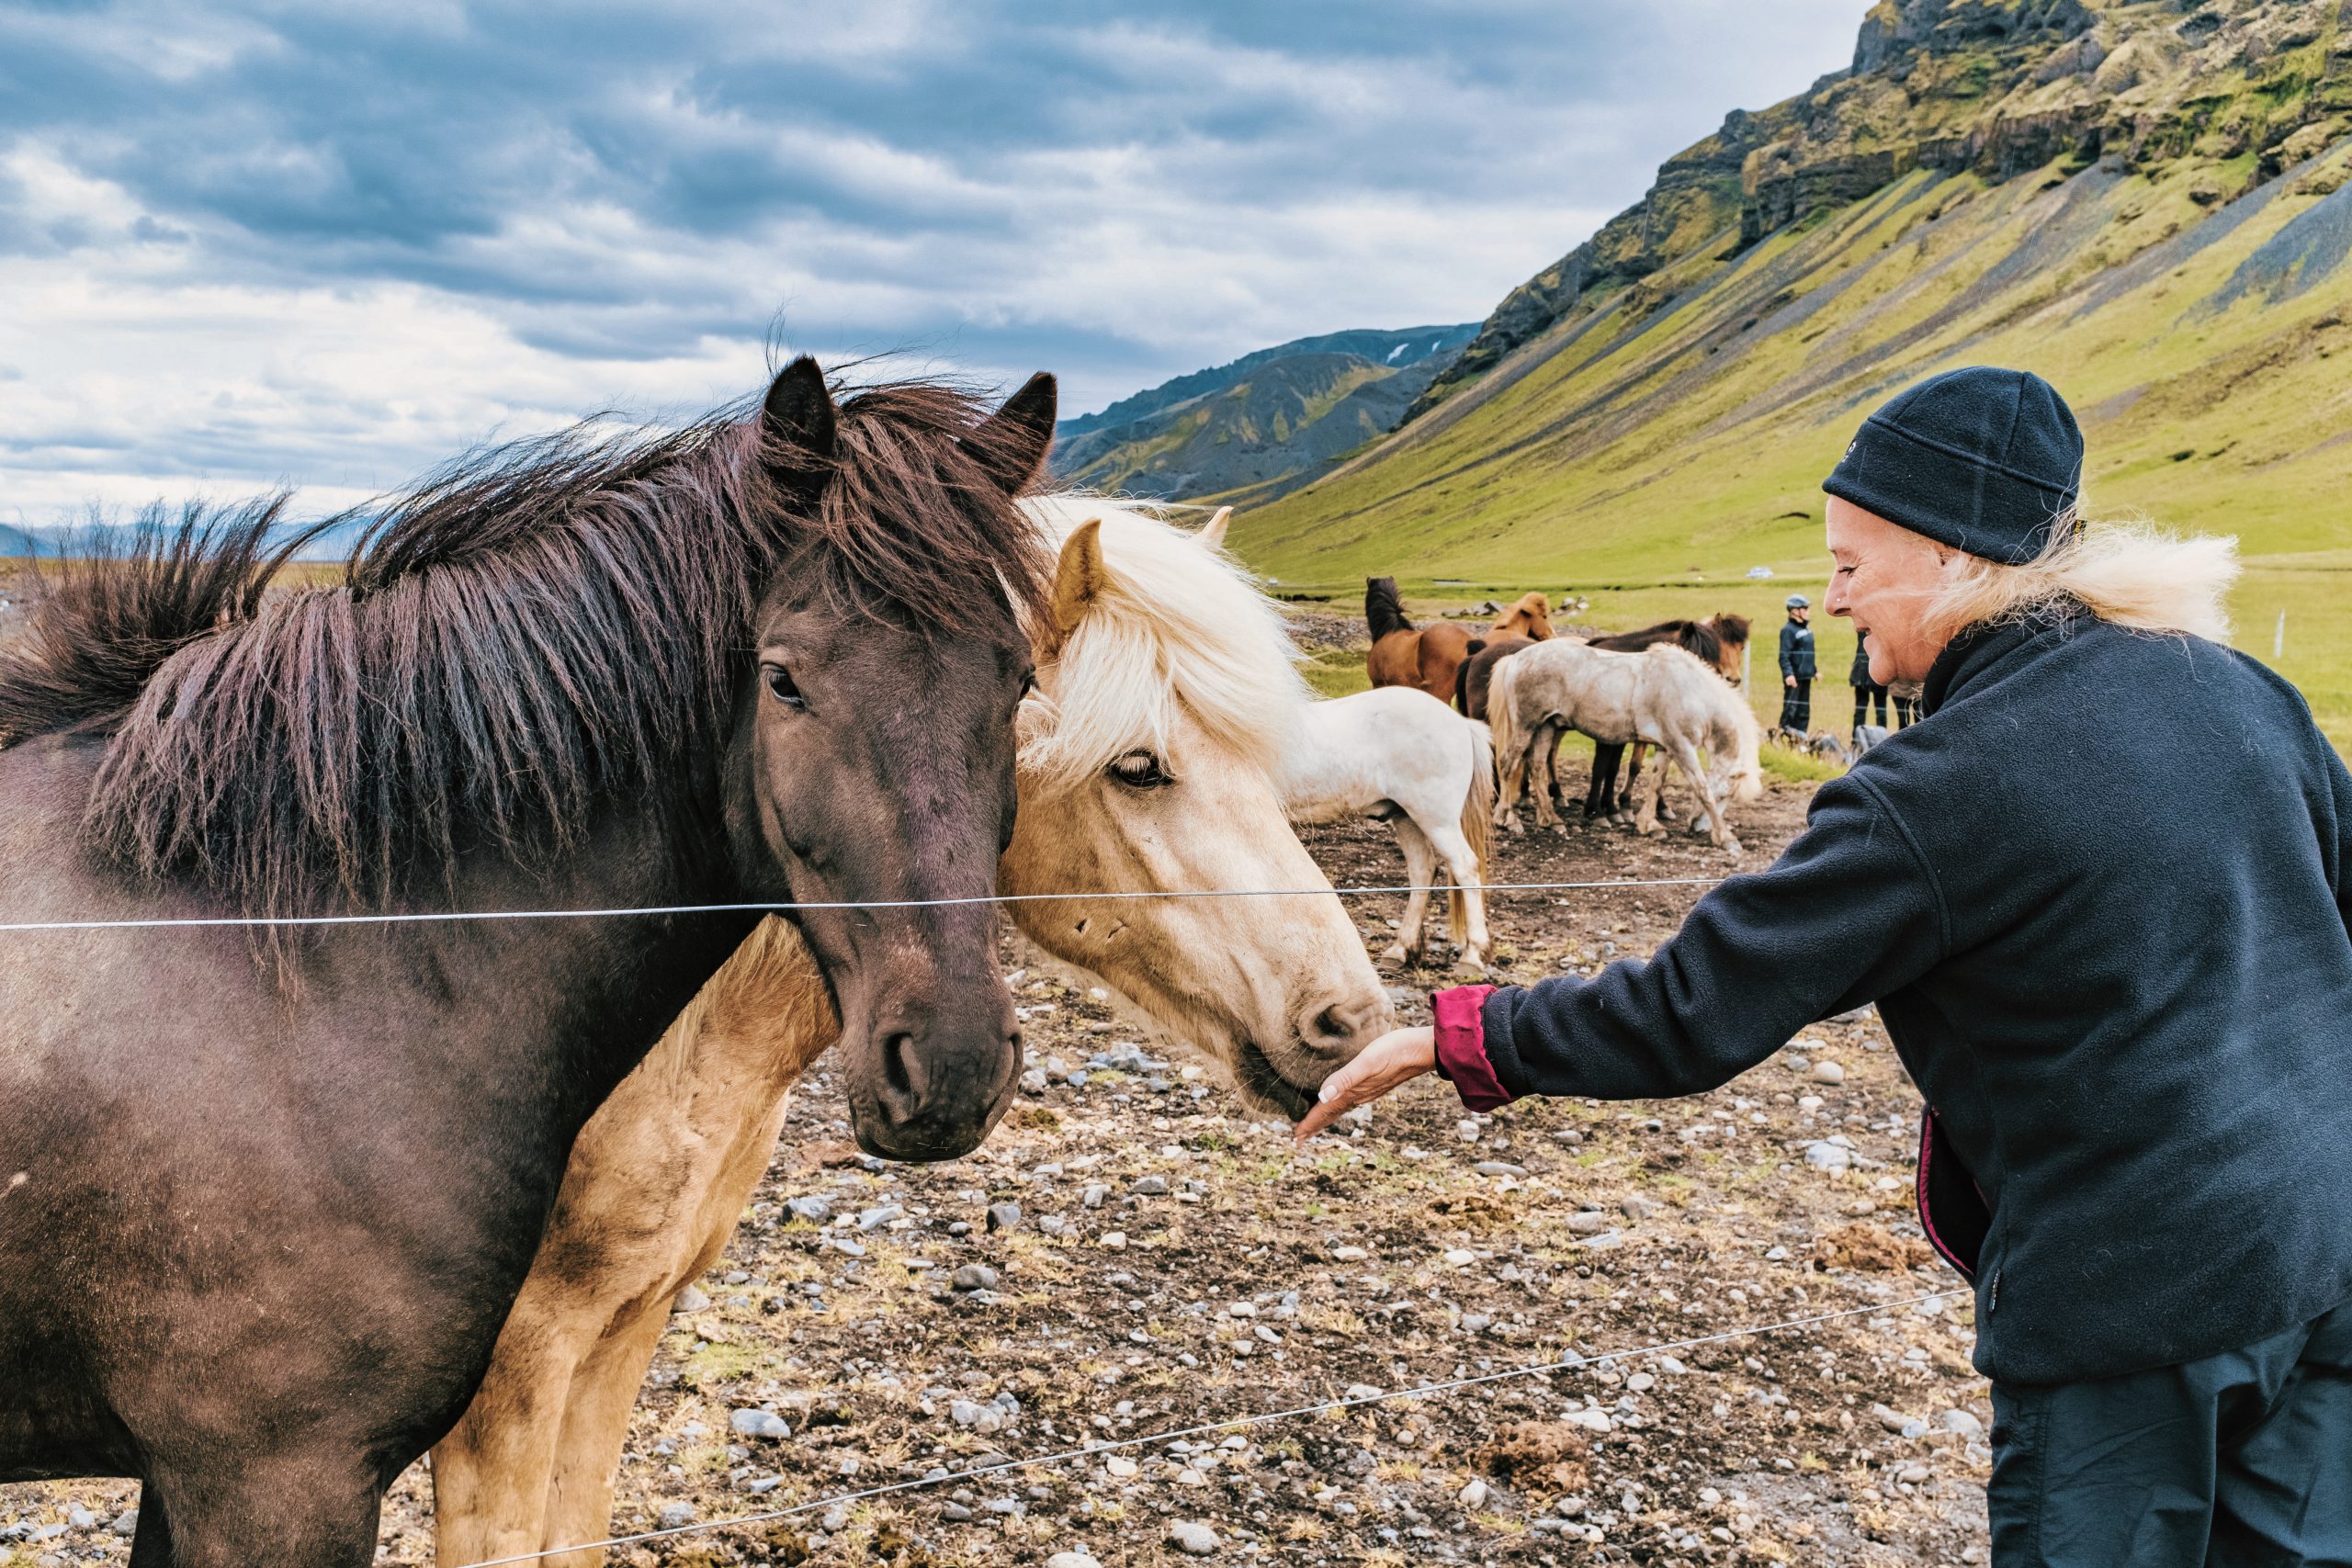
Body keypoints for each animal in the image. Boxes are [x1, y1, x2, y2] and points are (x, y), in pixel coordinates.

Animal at [0, 360, 1058, 1567]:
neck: (292, 967)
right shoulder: (271, 1478)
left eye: (1018, 681)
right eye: (784, 681)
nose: (953, 1067)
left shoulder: (193, 1481)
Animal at [1283, 686, 1496, 974]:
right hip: (1407, 818)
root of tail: (1461, 722)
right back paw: (1401, 949)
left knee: (1465, 869)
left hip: (1437, 821)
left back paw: (1472, 955)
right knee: (1422, 871)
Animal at [1488, 638, 1762, 854]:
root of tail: (1515, 659)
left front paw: (1650, 824)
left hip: (1547, 726)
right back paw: (1507, 818)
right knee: (1508, 764)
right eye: (1724, 795)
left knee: (1536, 766)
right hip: (1526, 727)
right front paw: (1727, 838)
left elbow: (1656, 783)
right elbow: (1702, 789)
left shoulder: (1665, 748)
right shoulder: (1682, 747)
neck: (1690, 692)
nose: (1697, 828)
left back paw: (1551, 819)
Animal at [1582, 614, 1751, 820]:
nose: (1733, 679)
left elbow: (1645, 770)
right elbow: (1607, 767)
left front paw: (1654, 807)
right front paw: (1603, 810)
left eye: (1741, 648)